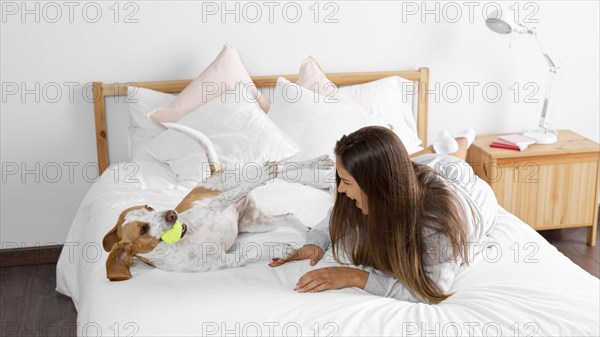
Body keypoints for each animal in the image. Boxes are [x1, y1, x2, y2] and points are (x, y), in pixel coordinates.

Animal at [105, 122, 336, 280]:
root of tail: (213, 172)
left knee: (273, 170)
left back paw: (317, 163)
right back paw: (306, 230)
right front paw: (280, 250)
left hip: (237, 181)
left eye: (149, 207)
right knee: (287, 214)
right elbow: (253, 251)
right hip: (255, 223)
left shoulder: (213, 206)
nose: (172, 214)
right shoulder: (226, 260)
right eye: (143, 229)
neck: (181, 242)